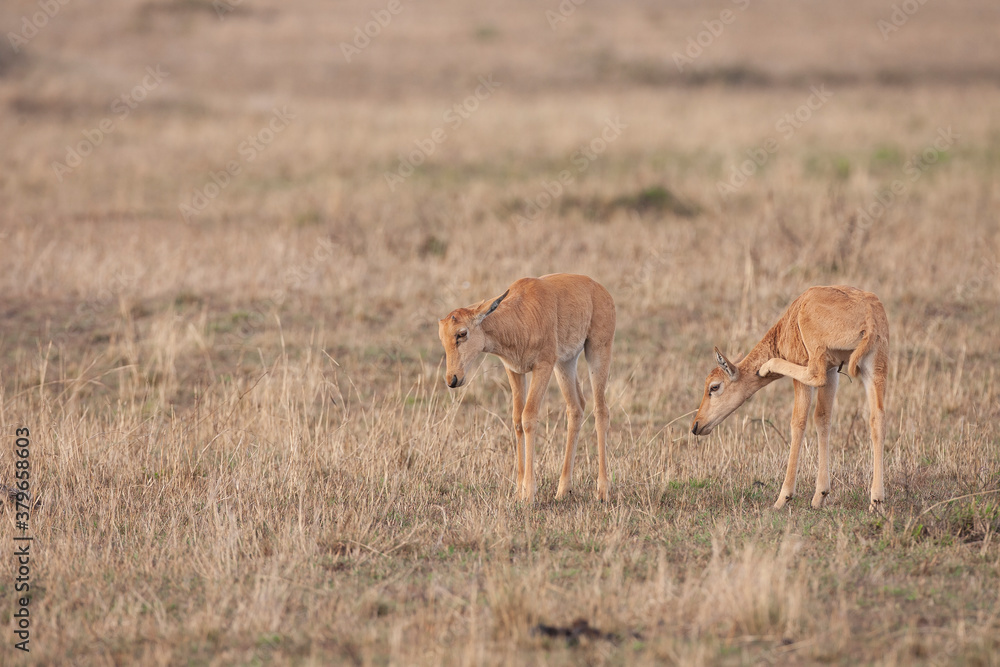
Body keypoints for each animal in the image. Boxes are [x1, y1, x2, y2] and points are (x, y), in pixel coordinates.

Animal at [438, 274, 616, 503]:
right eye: (442, 338)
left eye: (462, 333)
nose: (453, 379)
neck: (522, 314)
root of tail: (600, 289)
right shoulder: (515, 371)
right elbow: (517, 420)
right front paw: (519, 491)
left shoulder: (542, 367)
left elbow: (529, 417)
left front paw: (529, 494)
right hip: (565, 363)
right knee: (576, 408)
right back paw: (562, 491)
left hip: (597, 350)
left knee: (601, 410)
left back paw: (602, 491)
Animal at [691, 286, 889, 512]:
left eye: (714, 387)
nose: (696, 426)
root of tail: (869, 317)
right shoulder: (833, 371)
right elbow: (822, 419)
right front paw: (820, 496)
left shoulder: (805, 369)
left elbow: (798, 423)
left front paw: (783, 498)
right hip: (874, 368)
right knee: (878, 419)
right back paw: (876, 501)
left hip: (817, 363)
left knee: (814, 377)